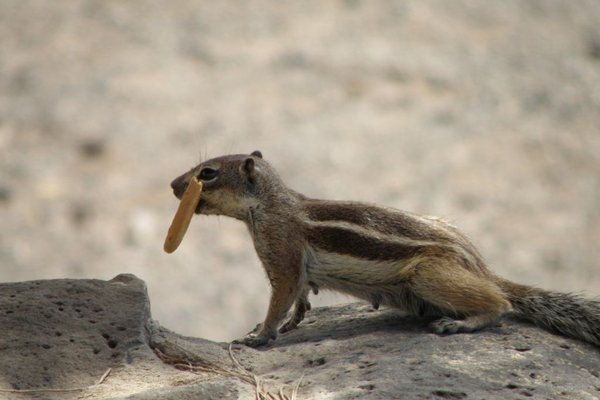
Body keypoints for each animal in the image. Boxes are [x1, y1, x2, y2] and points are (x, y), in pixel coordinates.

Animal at [169, 150, 600, 346]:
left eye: (208, 173)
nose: (173, 185)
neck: (273, 203)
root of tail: (480, 265)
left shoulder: (283, 251)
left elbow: (281, 296)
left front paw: (259, 336)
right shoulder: (296, 267)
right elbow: (300, 299)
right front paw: (290, 323)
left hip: (428, 274)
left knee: (501, 302)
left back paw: (462, 322)